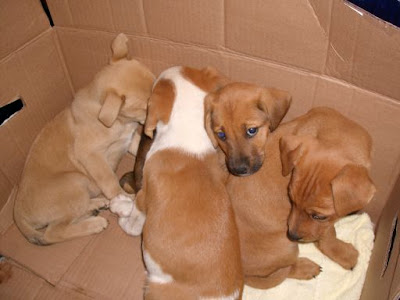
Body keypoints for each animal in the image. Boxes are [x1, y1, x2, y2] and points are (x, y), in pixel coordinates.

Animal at [13, 32, 155, 245]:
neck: (119, 122)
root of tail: (18, 214)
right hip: (74, 182)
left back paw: (97, 205)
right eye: (146, 107)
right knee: (53, 232)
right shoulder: (91, 156)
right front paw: (123, 199)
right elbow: (109, 180)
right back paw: (95, 223)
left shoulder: (129, 140)